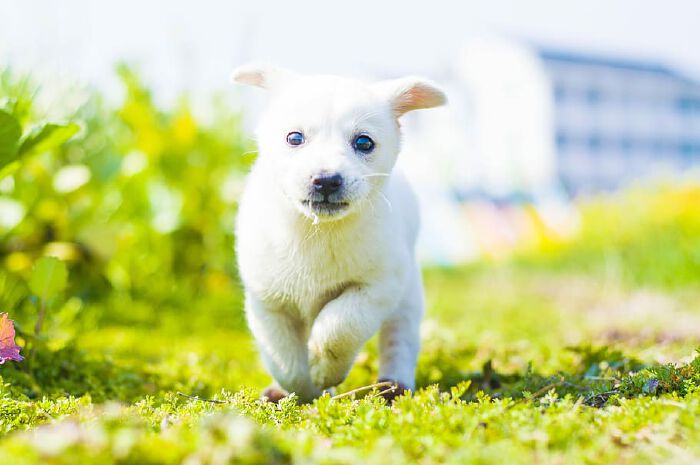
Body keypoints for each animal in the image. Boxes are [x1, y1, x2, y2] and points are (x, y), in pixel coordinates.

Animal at [232, 63, 446, 400]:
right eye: (294, 138)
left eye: (364, 142)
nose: (326, 180)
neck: (317, 233)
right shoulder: (268, 302)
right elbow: (286, 361)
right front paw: (306, 390)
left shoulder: (377, 287)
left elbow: (339, 326)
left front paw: (323, 369)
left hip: (408, 297)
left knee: (399, 339)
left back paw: (393, 386)